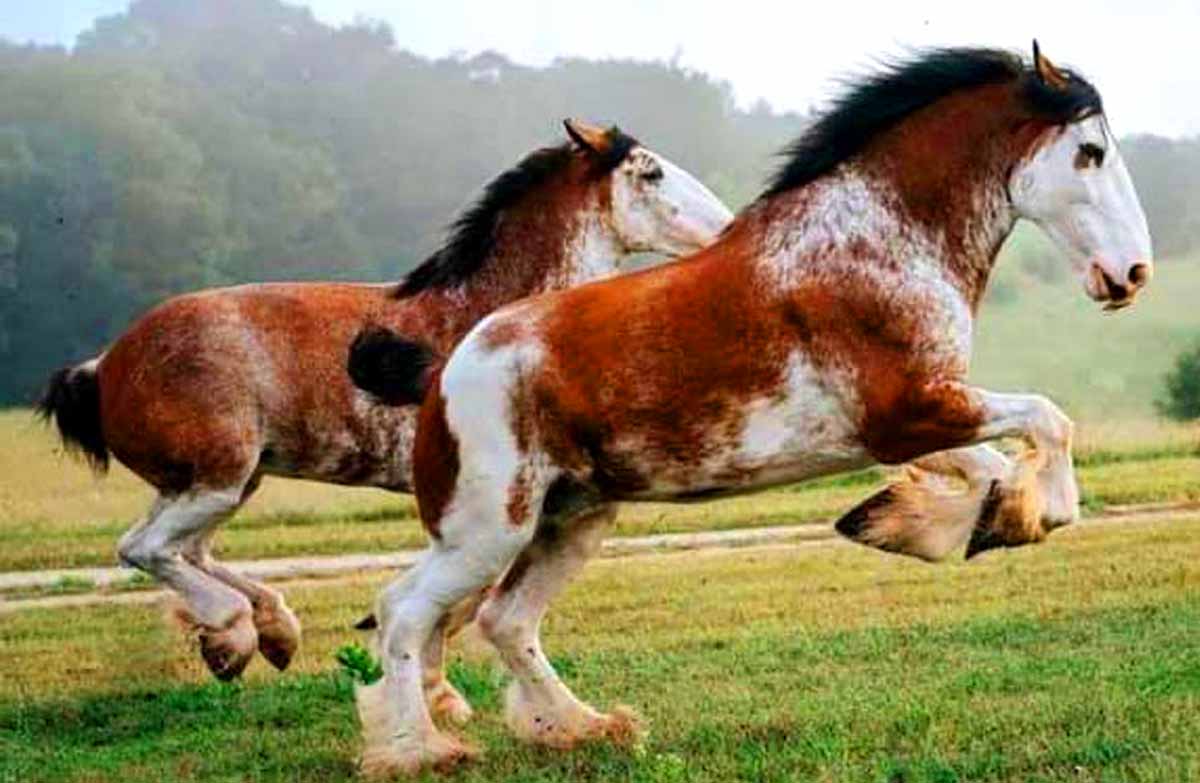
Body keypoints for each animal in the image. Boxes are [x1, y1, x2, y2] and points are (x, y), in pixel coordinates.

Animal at [36, 119, 734, 691]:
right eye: (650, 171)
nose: (726, 229)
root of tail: (104, 364)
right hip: (214, 479)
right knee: (146, 549)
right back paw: (233, 637)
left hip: (225, 485)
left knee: (190, 552)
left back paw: (270, 633)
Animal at [352, 44, 1152, 776]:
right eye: (1089, 153)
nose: (1132, 274)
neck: (877, 239)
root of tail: (441, 372)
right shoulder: (907, 412)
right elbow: (1048, 421)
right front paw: (1012, 517)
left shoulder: (917, 418)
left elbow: (994, 467)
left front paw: (921, 523)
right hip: (488, 530)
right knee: (406, 611)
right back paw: (420, 750)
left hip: (570, 518)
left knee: (502, 618)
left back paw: (584, 727)